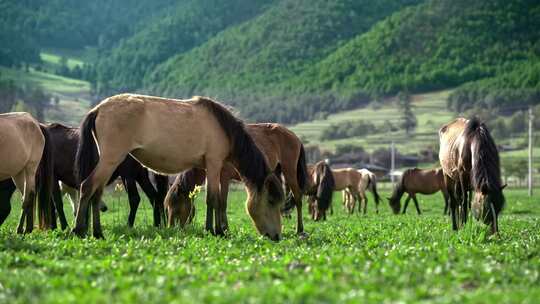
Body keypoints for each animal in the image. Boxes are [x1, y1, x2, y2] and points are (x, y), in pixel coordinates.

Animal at [74, 93, 284, 240]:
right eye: (271, 201)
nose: (276, 237)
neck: (224, 128)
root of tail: (98, 109)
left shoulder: (213, 168)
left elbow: (217, 200)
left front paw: (218, 230)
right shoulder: (213, 164)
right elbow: (213, 199)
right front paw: (213, 231)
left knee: (96, 193)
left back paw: (97, 233)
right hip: (111, 159)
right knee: (87, 187)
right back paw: (79, 230)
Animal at [165, 123, 310, 235]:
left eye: (176, 207)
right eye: (167, 207)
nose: (171, 228)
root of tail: (295, 137)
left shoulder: (224, 177)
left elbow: (222, 202)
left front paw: (223, 229)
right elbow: (215, 200)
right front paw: (221, 228)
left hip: (290, 171)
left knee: (298, 198)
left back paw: (299, 229)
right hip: (276, 173)